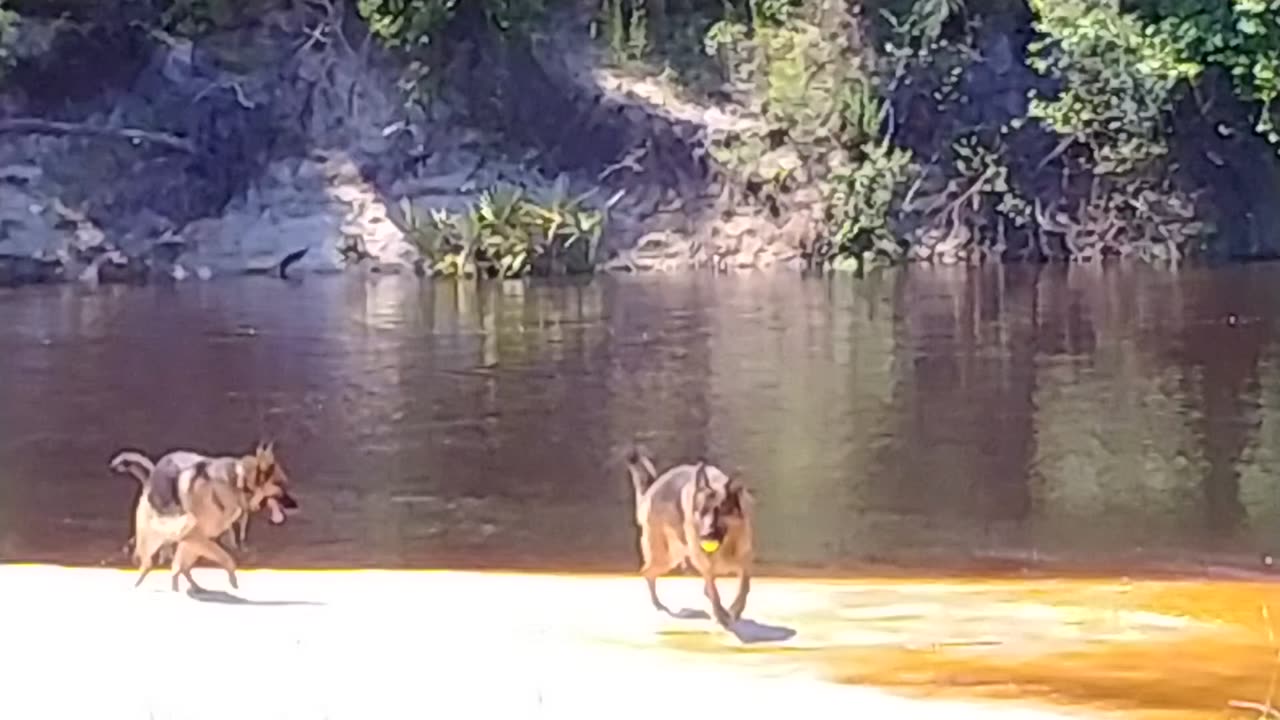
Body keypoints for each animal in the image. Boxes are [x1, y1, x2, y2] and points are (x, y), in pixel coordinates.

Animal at [110, 443, 299, 589]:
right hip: (154, 534)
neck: (239, 483)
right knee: (145, 559)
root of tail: (152, 474)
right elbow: (226, 558)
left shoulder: (196, 539)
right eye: (281, 484)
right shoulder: (196, 536)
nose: (296, 505)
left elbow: (181, 566)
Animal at [624, 445, 752, 625]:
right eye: (702, 511)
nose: (706, 535)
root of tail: (652, 489)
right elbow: (714, 592)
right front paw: (720, 614)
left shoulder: (745, 562)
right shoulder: (705, 565)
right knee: (647, 572)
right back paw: (657, 605)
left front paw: (735, 610)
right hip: (667, 556)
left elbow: (744, 587)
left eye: (721, 511)